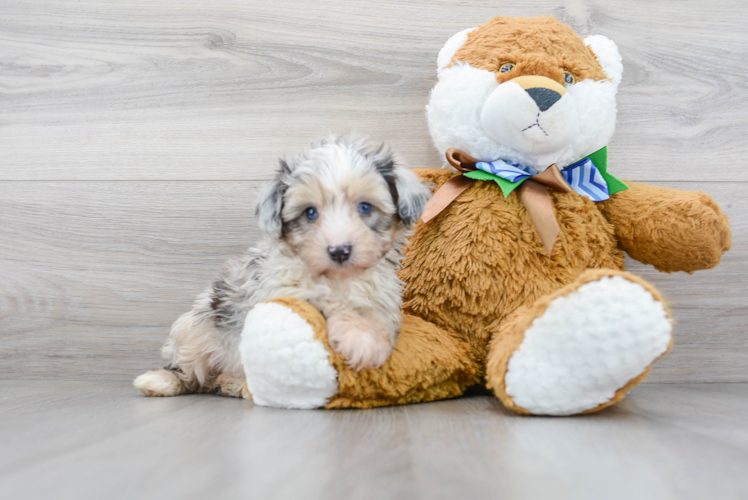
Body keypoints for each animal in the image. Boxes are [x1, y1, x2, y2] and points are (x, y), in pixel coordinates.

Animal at [131, 135, 430, 396]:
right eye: (310, 212)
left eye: (365, 208)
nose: (339, 251)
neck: (338, 279)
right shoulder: (282, 291)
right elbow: (324, 302)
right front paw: (355, 333)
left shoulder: (382, 299)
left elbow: (377, 321)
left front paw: (368, 340)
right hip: (193, 330)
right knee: (189, 373)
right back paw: (161, 382)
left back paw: (237, 384)